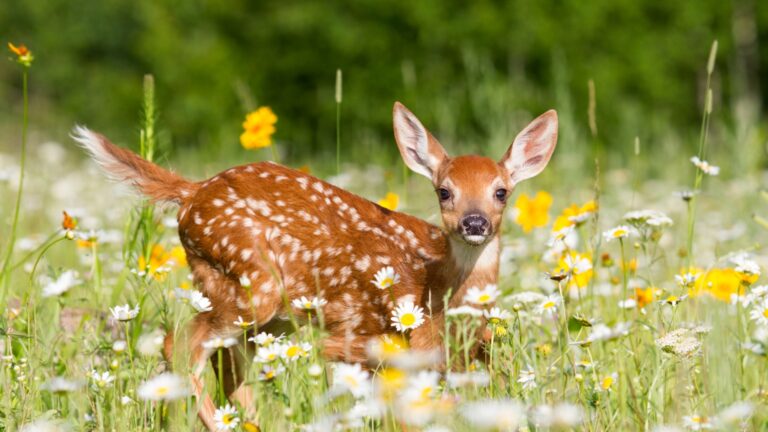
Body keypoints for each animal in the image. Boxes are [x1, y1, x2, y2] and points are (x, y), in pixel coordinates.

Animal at [73, 102, 557, 430]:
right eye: (444, 191)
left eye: (501, 192)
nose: (474, 223)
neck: (435, 287)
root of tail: (192, 192)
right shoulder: (365, 343)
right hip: (252, 282)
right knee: (180, 342)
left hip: (259, 309)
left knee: (227, 361)